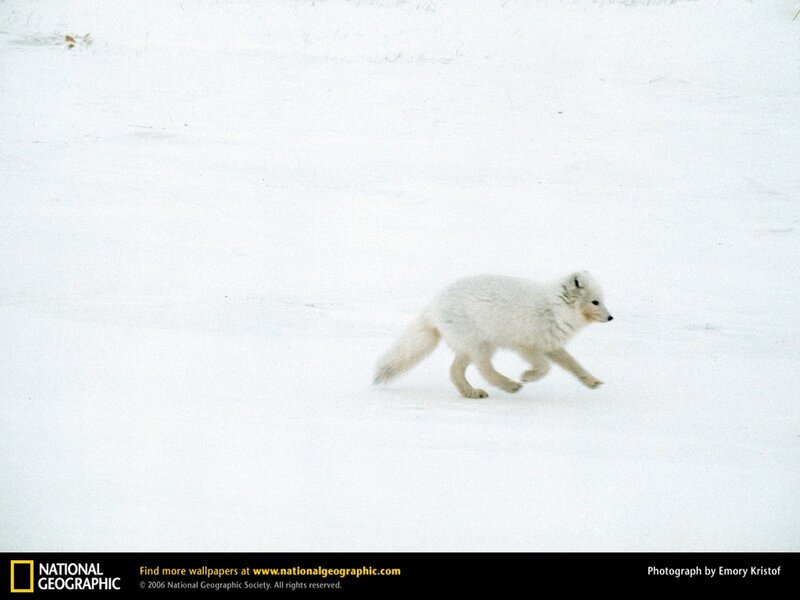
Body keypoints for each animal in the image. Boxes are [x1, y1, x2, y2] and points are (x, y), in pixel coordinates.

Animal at [373, 271, 612, 398]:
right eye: (595, 302)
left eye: (601, 301)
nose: (611, 318)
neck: (555, 308)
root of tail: (432, 307)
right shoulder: (527, 345)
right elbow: (545, 368)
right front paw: (527, 376)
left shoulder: (551, 345)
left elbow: (574, 365)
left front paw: (591, 382)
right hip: (481, 346)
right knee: (484, 370)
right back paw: (509, 385)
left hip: (471, 347)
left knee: (455, 371)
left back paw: (471, 393)